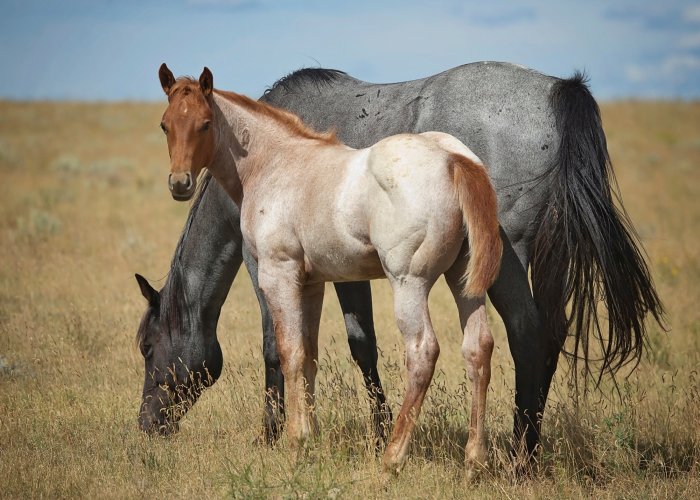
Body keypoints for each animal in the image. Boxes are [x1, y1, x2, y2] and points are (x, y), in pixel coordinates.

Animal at [135, 61, 663, 462]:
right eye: (163, 125)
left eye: (147, 347)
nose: (146, 425)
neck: (270, 159)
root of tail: (560, 90)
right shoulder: (330, 273)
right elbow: (341, 348)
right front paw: (366, 431)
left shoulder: (271, 267)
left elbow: (292, 348)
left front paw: (277, 434)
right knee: (546, 338)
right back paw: (522, 448)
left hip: (501, 263)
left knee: (524, 335)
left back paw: (517, 457)